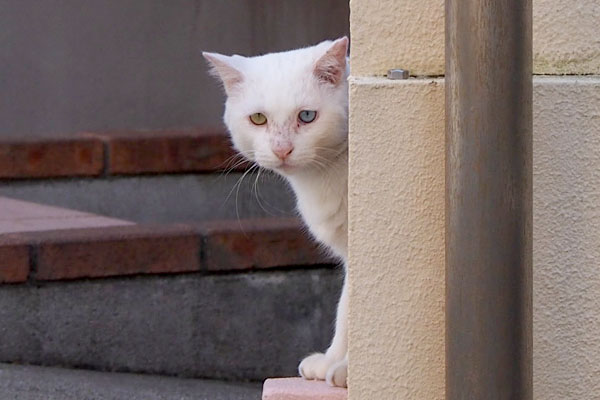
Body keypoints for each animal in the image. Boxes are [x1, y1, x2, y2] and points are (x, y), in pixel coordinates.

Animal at [204, 38, 350, 388]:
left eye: (307, 116)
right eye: (258, 119)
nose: (282, 149)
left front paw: (350, 368)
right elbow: (346, 308)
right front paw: (332, 361)